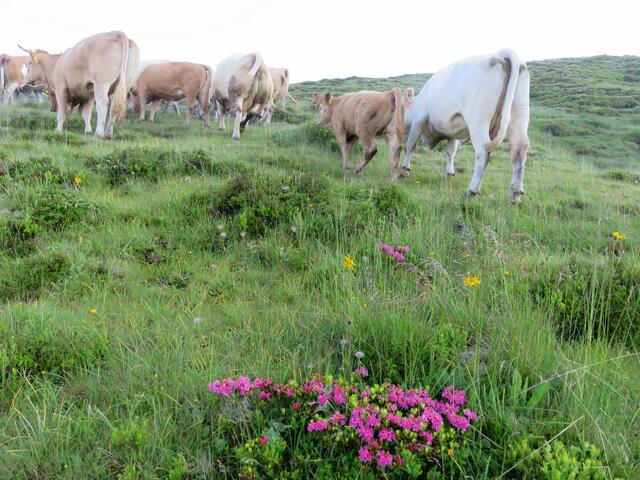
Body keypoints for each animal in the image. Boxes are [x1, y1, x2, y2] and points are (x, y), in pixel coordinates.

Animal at [401, 49, 530, 203]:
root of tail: (500, 54)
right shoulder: (453, 131)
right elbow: (450, 152)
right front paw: (449, 173)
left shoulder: (419, 119)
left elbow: (410, 145)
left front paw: (404, 169)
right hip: (519, 114)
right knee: (519, 150)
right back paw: (514, 195)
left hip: (478, 120)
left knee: (483, 152)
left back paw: (472, 190)